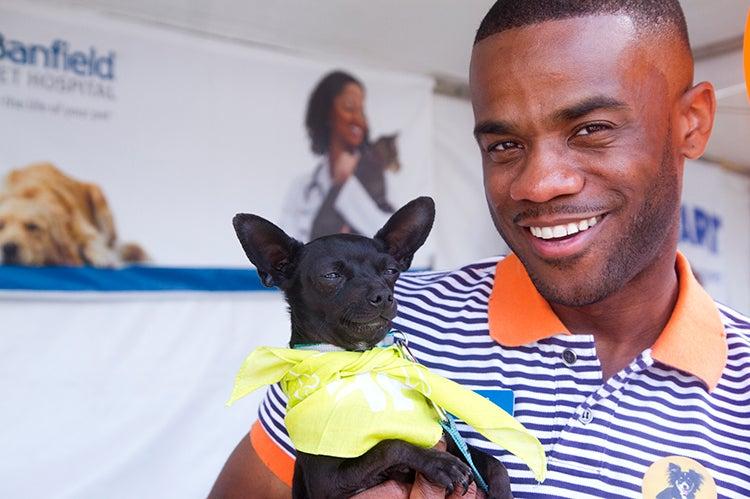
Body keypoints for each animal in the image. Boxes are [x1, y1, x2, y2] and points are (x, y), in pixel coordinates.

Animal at [0, 163, 148, 266]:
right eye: (1, 225)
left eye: (32, 226)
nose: (8, 248)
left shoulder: (86, 230)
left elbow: (95, 243)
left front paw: (103, 258)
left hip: (99, 198)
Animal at [228, 197, 548, 498]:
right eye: (331, 276)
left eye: (391, 270)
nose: (383, 295)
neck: (361, 360)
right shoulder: (326, 481)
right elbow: (390, 444)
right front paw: (438, 463)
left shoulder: (447, 437)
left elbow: (492, 461)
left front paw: (502, 491)